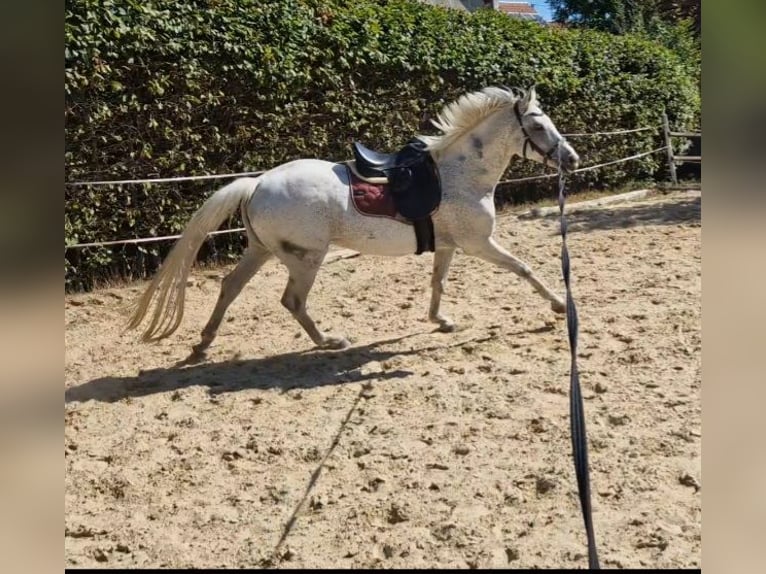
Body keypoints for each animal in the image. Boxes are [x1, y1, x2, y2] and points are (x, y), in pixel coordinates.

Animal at [127, 86, 580, 356]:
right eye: (538, 124)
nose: (571, 159)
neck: (459, 174)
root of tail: (257, 183)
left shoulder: (450, 246)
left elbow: (438, 283)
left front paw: (440, 321)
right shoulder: (479, 244)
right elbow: (524, 269)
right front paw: (559, 305)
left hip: (261, 251)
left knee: (230, 287)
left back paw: (204, 344)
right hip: (306, 259)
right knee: (292, 301)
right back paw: (329, 341)